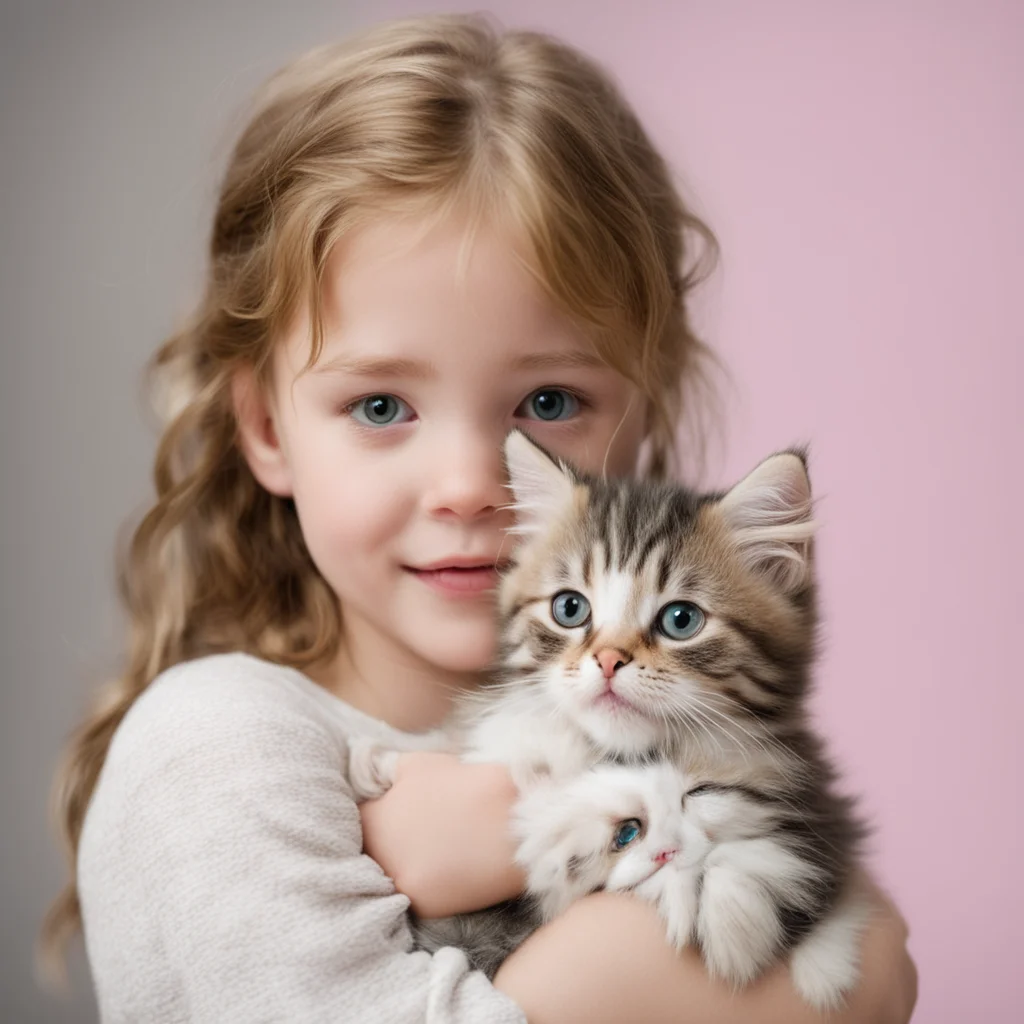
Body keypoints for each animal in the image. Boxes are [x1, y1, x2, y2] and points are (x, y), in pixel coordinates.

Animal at [348, 432, 868, 1007]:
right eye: (570, 608)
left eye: (681, 620)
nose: (609, 660)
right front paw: (382, 756)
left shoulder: (820, 805)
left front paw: (728, 904)